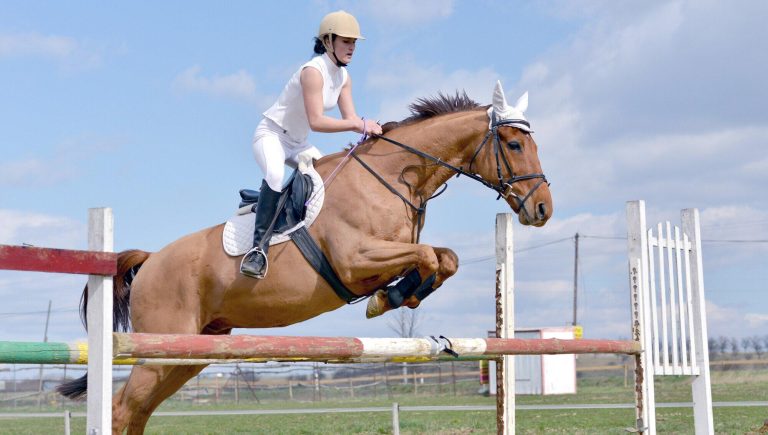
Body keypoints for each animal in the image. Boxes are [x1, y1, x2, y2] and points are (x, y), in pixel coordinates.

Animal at [60, 81, 552, 432]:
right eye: (513, 145)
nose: (543, 209)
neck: (394, 177)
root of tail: (151, 260)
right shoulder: (356, 261)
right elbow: (430, 257)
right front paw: (387, 299)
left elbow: (444, 258)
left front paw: (399, 295)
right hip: (162, 350)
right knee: (122, 409)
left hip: (187, 354)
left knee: (137, 411)